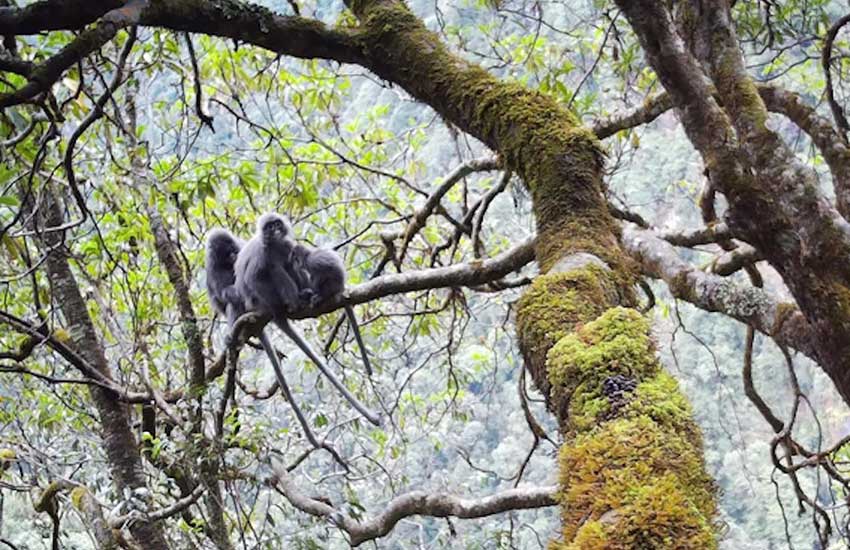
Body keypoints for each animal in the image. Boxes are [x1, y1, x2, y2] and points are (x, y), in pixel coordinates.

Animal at [292, 244, 372, 378]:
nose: (293, 264)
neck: (308, 255)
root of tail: (341, 287)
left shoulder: (312, 262)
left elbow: (323, 271)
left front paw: (312, 293)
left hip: (331, 286)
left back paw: (318, 296)